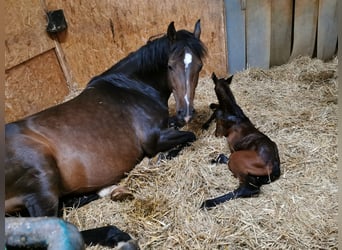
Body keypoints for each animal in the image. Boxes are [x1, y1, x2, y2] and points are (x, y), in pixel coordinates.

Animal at [5, 20, 207, 218]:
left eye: (199, 66)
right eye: (170, 66)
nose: (186, 112)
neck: (132, 87)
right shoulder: (154, 139)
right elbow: (190, 136)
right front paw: (158, 158)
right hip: (42, 187)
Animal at [200, 73, 280, 209]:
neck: (233, 113)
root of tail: (273, 166)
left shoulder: (219, 132)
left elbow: (215, 114)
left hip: (238, 158)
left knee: (247, 188)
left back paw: (208, 202)